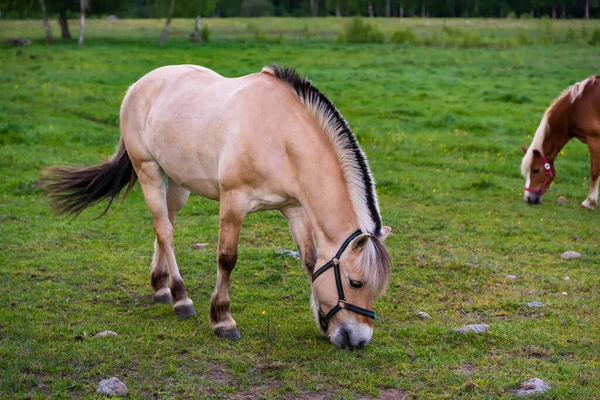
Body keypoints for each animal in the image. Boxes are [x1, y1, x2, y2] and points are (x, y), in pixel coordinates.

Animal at [45, 64, 394, 348]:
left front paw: (321, 320)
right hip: (149, 171)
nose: (360, 340)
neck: (280, 136)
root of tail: (138, 86)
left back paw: (160, 288)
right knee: (164, 230)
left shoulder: (295, 209)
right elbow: (227, 258)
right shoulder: (233, 202)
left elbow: (309, 262)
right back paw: (180, 299)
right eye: (355, 282)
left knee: (165, 227)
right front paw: (222, 320)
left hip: (178, 183)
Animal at [520, 74, 600, 209]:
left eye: (535, 170)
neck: (578, 106)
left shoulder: (594, 140)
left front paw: (589, 202)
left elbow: (594, 171)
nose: (528, 199)